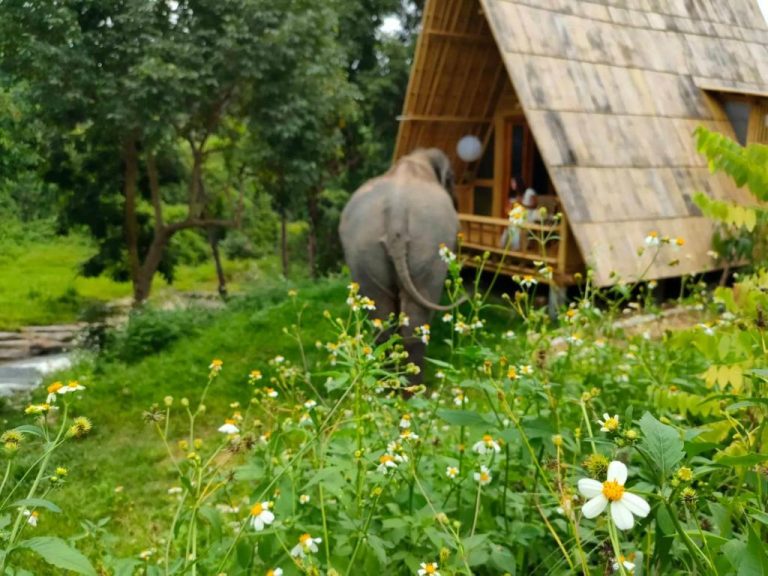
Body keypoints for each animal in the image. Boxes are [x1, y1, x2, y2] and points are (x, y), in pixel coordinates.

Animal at [339, 147, 461, 384]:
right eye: (451, 179)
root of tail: (397, 214)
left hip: (362, 251)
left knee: (380, 321)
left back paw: (386, 382)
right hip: (428, 250)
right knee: (416, 324)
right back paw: (413, 388)